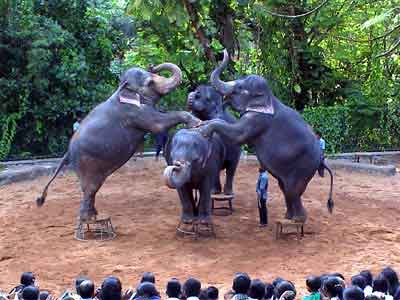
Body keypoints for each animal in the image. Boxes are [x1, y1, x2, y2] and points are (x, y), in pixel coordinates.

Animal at [36, 62, 200, 220]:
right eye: (150, 82)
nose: (152, 66)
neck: (121, 89)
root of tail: (67, 153)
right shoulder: (134, 113)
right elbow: (158, 124)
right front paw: (196, 123)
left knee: (91, 190)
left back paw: (95, 215)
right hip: (86, 163)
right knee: (90, 188)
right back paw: (89, 218)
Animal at [195, 50, 332, 221]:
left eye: (240, 87)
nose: (225, 51)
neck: (269, 97)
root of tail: (321, 158)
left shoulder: (258, 119)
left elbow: (238, 135)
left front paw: (203, 129)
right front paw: (200, 125)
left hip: (304, 166)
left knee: (293, 190)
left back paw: (297, 220)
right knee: (285, 188)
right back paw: (288, 217)